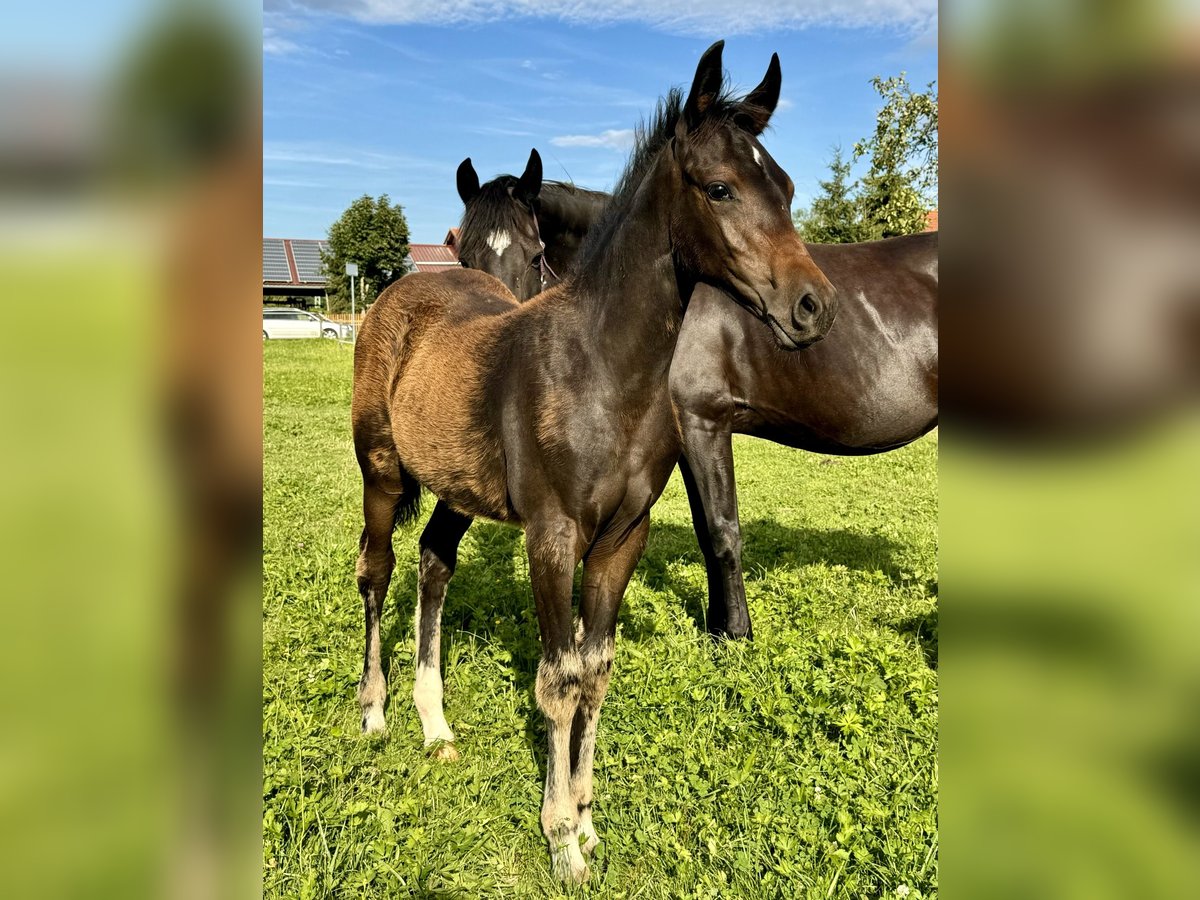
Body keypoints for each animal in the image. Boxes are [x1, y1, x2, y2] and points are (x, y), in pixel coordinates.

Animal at [350, 42, 835, 883]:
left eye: (788, 187)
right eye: (720, 187)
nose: (814, 307)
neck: (603, 372)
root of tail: (394, 297)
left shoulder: (620, 540)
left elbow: (596, 672)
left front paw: (586, 820)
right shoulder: (551, 536)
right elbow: (557, 680)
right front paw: (561, 842)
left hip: (456, 489)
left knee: (433, 562)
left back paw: (436, 724)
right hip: (380, 471)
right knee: (376, 569)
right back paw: (376, 711)